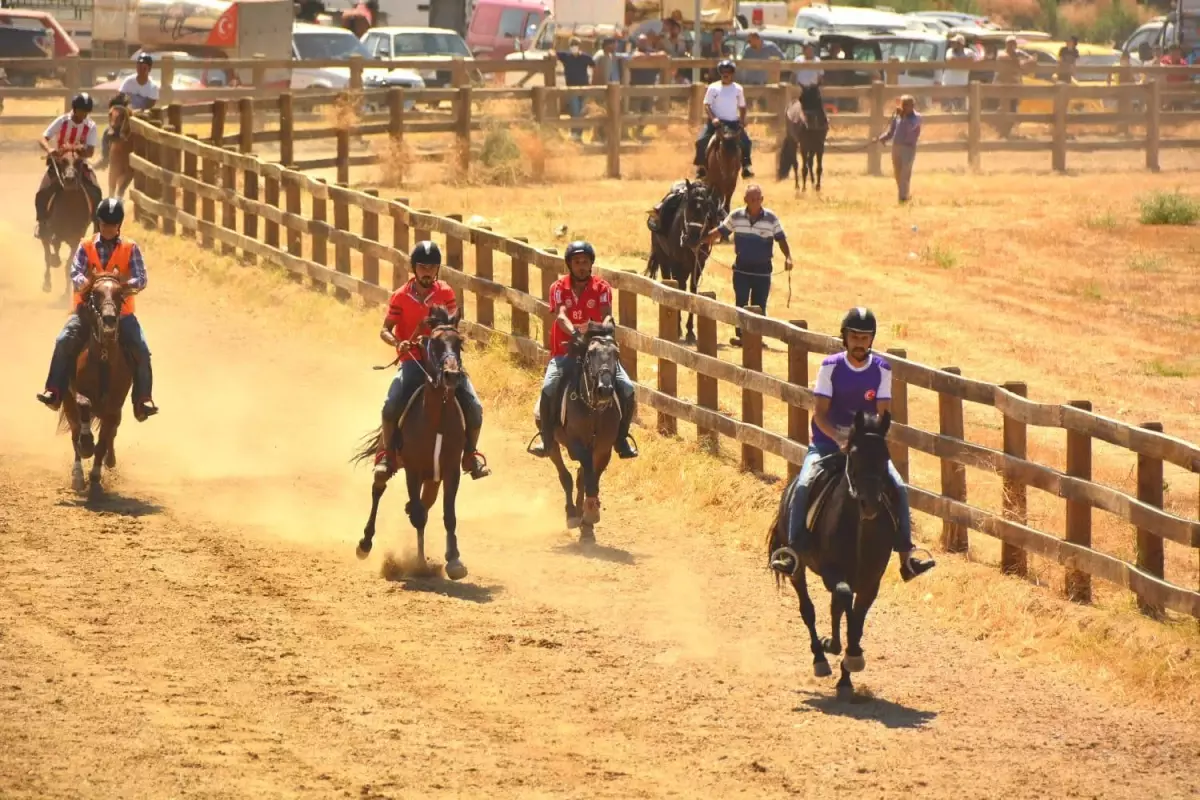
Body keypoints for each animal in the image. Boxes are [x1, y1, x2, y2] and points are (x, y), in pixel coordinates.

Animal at [39, 149, 94, 297]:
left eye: (79, 161)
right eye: (62, 161)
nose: (69, 179)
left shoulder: (76, 238)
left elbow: (70, 264)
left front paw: (67, 293)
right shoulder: (52, 232)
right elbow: (54, 246)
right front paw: (55, 261)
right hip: (44, 233)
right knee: (47, 255)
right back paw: (47, 283)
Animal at [60, 272, 140, 491]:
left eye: (120, 294)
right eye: (95, 293)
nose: (109, 323)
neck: (103, 357)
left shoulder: (114, 406)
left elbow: (104, 439)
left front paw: (96, 474)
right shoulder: (74, 392)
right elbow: (84, 404)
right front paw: (87, 444)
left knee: (111, 433)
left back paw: (108, 461)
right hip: (68, 405)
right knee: (75, 434)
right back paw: (78, 475)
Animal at [352, 307, 470, 582]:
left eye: (459, 342)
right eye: (434, 343)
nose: (452, 375)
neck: (436, 418)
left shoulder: (450, 470)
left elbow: (448, 515)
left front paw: (454, 561)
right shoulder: (413, 470)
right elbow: (417, 515)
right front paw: (419, 564)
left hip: (433, 480)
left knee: (425, 506)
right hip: (390, 462)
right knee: (378, 489)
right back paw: (365, 544)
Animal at [648, 178, 720, 345]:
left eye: (707, 208)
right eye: (688, 206)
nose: (693, 238)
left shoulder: (698, 265)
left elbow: (693, 291)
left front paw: (690, 332)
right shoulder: (677, 264)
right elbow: (679, 291)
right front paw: (678, 328)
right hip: (664, 260)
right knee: (669, 281)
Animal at [768, 412, 902, 700]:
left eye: (885, 455)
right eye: (854, 453)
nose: (870, 504)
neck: (859, 530)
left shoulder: (870, 582)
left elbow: (855, 621)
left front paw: (849, 670)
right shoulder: (832, 573)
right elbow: (843, 605)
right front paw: (834, 647)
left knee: (835, 607)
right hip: (797, 569)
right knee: (808, 609)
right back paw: (820, 657)